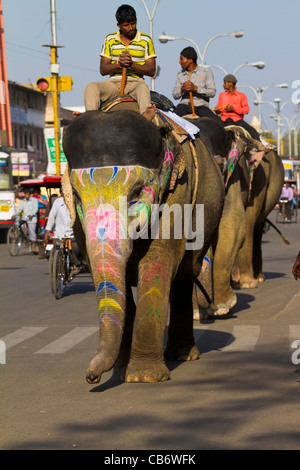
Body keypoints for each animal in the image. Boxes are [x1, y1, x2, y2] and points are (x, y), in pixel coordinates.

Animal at [61, 107, 225, 382]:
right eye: (76, 197)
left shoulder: (178, 191)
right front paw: (122, 364)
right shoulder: (78, 223)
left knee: (183, 276)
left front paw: (143, 376)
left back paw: (182, 355)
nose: (91, 377)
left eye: (137, 194)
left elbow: (156, 259)